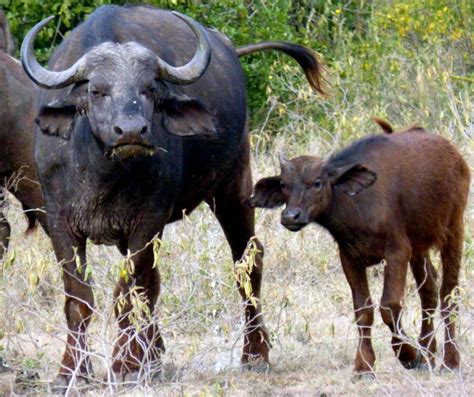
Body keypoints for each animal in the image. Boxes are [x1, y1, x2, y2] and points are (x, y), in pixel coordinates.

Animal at [20, 3, 324, 386]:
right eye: (96, 90)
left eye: (150, 88)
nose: (131, 131)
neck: (103, 173)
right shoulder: (60, 223)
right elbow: (80, 299)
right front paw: (72, 371)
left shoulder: (146, 222)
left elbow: (127, 293)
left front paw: (124, 365)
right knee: (154, 282)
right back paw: (152, 356)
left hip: (233, 185)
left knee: (247, 261)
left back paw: (254, 353)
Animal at [248, 120, 470, 374]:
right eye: (285, 185)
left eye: (317, 183)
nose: (291, 216)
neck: (356, 203)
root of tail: (455, 156)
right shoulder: (350, 259)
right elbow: (363, 310)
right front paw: (364, 365)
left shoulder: (397, 253)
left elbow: (389, 305)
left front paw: (407, 354)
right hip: (420, 246)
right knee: (429, 290)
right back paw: (427, 355)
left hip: (454, 229)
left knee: (448, 294)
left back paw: (450, 360)